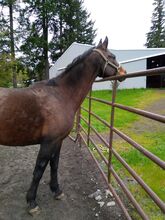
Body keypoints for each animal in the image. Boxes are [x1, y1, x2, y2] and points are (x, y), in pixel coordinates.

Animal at [0, 37, 126, 215]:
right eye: (112, 56)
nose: (123, 73)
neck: (61, 95)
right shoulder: (48, 142)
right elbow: (39, 170)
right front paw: (32, 202)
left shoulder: (58, 141)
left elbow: (54, 165)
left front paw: (56, 191)